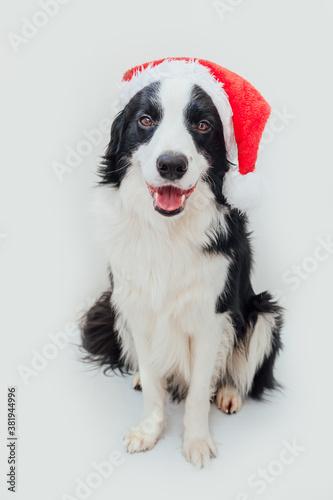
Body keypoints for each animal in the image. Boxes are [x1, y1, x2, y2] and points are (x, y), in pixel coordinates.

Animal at [81, 58, 282, 468]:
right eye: (145, 120)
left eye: (203, 125)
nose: (171, 164)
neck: (167, 230)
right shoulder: (137, 305)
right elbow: (153, 384)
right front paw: (148, 430)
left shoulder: (210, 317)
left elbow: (199, 390)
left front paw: (197, 442)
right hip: (115, 307)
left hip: (264, 313)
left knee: (241, 370)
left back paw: (229, 394)